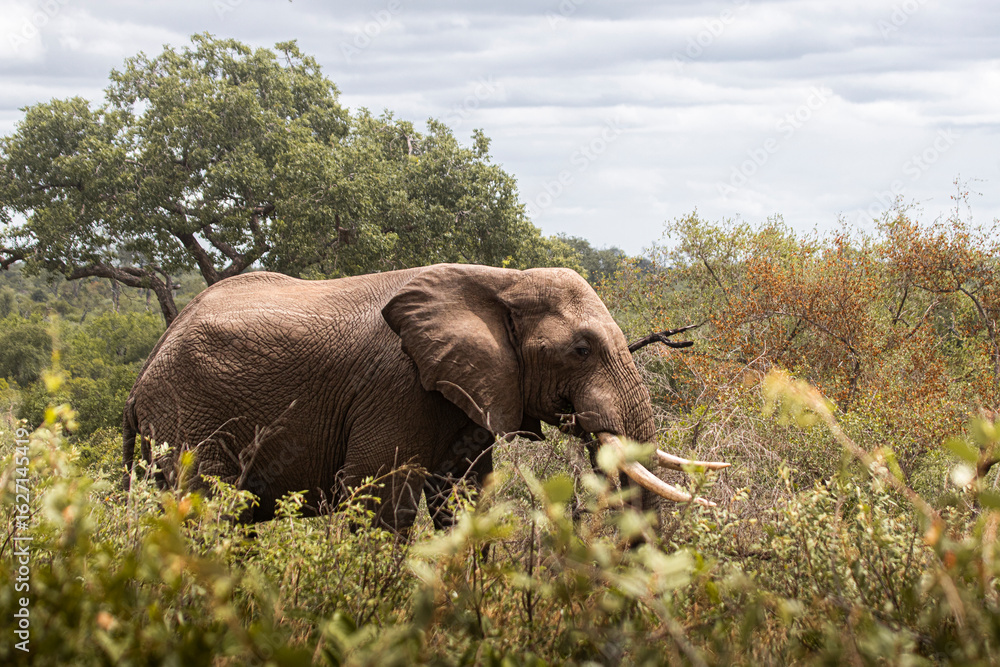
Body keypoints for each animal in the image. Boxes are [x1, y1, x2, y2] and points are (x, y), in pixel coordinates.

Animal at [122, 263, 727, 532]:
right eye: (581, 349)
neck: (499, 280)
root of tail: (143, 372)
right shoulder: (395, 388)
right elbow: (379, 499)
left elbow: (463, 501)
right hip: (189, 419)